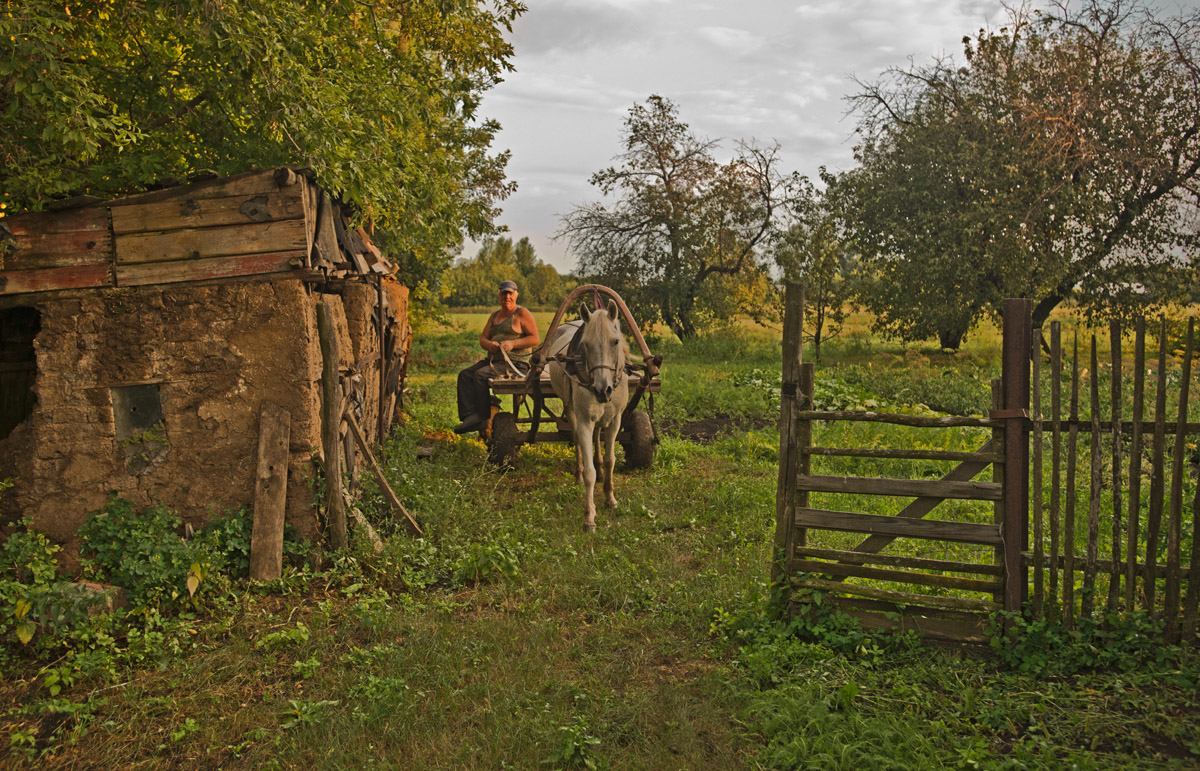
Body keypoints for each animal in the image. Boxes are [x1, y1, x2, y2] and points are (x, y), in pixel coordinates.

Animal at [549, 299, 633, 528]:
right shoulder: (585, 420)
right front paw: (589, 516)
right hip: (571, 409)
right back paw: (578, 473)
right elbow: (589, 472)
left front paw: (610, 498)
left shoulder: (615, 420)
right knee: (577, 439)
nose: (602, 390)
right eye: (585, 344)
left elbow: (611, 459)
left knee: (597, 437)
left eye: (615, 341)